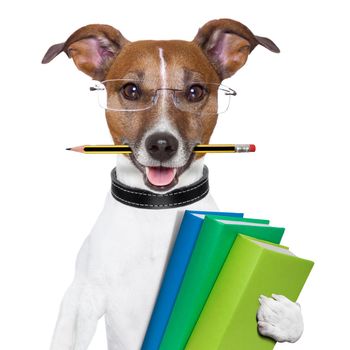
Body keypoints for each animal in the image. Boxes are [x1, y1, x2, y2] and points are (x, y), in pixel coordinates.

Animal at [41, 18, 304, 350]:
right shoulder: (81, 300)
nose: (162, 145)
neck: (159, 209)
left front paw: (284, 316)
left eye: (195, 91)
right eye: (131, 90)